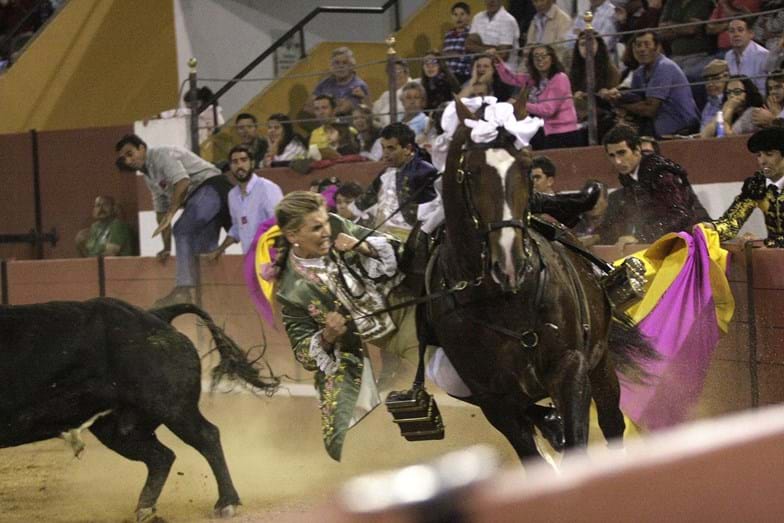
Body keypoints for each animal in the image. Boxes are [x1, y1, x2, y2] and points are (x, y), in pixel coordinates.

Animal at [0, 296, 278, 520]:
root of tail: (156, 316)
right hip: (118, 429)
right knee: (161, 456)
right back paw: (145, 508)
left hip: (173, 408)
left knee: (207, 437)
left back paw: (226, 503)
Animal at [426, 99, 652, 462]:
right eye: (471, 172)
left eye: (526, 166)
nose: (509, 262)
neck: (504, 302)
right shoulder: (494, 402)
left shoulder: (570, 369)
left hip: (600, 362)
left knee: (611, 422)